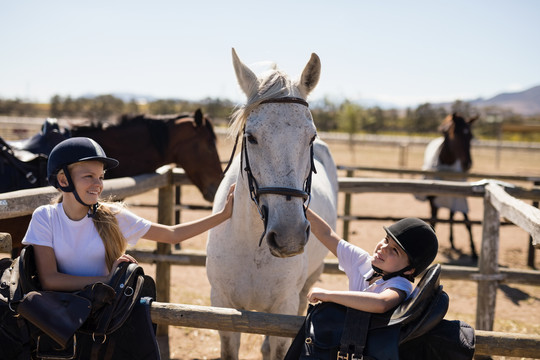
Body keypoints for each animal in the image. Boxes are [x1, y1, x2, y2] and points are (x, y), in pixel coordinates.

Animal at [420, 112, 478, 258]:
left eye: (470, 136)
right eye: (455, 134)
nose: (467, 164)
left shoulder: (460, 197)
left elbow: (467, 222)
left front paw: (474, 251)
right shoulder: (433, 201)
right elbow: (433, 221)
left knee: (452, 216)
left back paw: (452, 242)